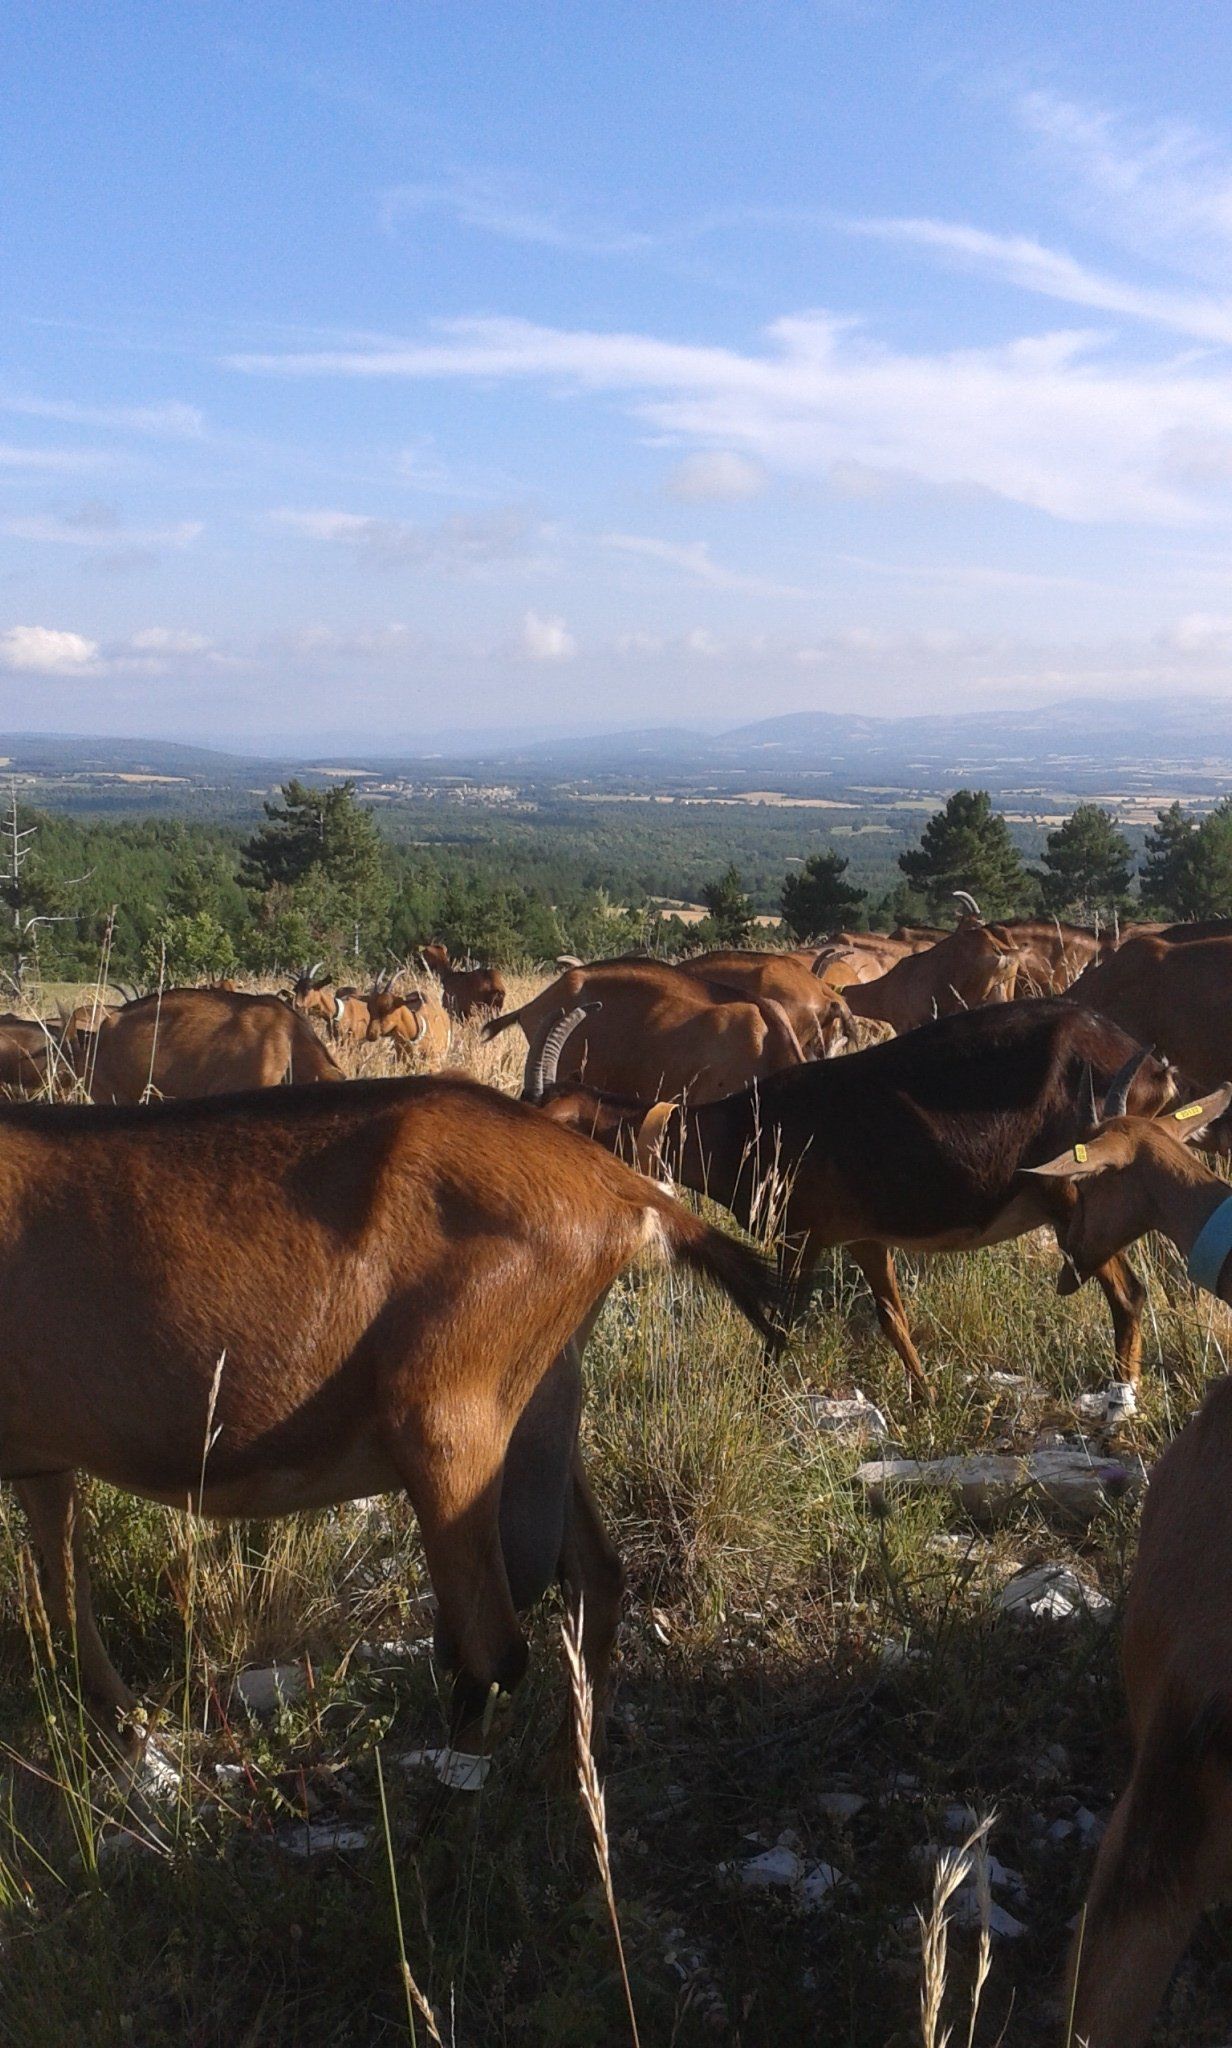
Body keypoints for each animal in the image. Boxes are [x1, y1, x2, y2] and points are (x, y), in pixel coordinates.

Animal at [0, 1075, 780, 1763]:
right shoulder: (41, 1461)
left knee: (493, 1649)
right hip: (543, 1403)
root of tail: (623, 1189)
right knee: (595, 1582)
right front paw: (125, 1729)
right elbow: (65, 1586)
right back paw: (566, 1770)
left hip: (448, 1424)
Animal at [526, 997, 1176, 1397]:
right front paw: (925, 1398)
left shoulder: (801, 1236)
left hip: (1072, 1201)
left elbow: (782, 1324)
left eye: (561, 1124)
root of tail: (1149, 1068)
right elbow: (893, 1318)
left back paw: (1122, 1402)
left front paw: (762, 1400)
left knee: (1128, 1293)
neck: (748, 1126)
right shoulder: (863, 1238)